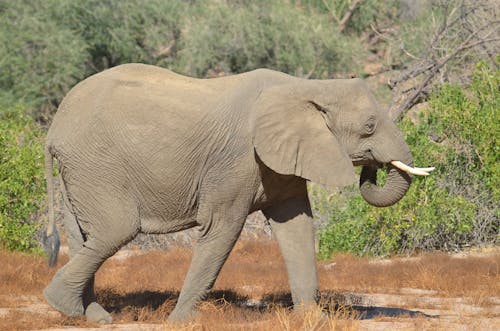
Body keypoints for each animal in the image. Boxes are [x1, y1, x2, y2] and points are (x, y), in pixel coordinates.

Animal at [42, 64, 434, 324]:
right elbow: (223, 229)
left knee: (86, 237)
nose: (374, 166)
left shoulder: (281, 160)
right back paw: (63, 305)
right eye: (369, 127)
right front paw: (179, 322)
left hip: (79, 172)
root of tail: (53, 128)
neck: (305, 87)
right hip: (95, 164)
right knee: (115, 231)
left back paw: (93, 316)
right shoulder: (237, 160)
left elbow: (297, 227)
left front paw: (316, 320)